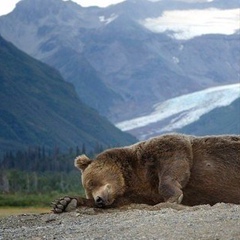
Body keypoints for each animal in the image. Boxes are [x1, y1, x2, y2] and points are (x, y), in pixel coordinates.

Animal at [52, 134, 240, 213]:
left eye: (91, 182)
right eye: (88, 191)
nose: (98, 200)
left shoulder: (163, 149)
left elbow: (174, 167)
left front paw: (173, 197)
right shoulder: (137, 195)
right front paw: (64, 203)